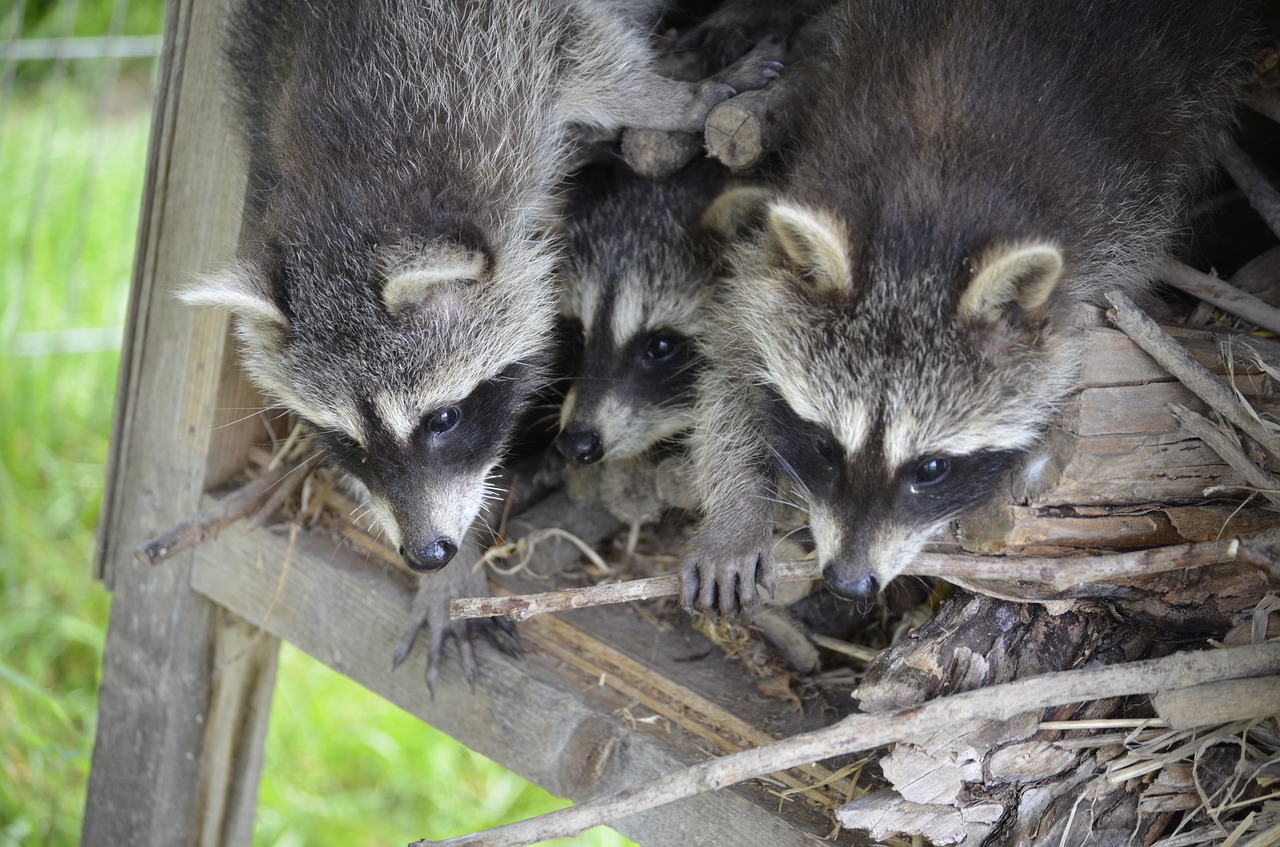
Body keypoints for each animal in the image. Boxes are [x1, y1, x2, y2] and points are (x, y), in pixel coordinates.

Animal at [181, 0, 773, 578]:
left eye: (443, 419)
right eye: (347, 441)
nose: (427, 555)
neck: (344, 194)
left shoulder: (494, 41)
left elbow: (589, 49)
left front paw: (669, 101)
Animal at [686, 0, 1254, 616]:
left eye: (931, 469)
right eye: (824, 446)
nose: (848, 584)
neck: (924, 222)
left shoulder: (1119, 224)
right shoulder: (773, 258)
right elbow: (732, 354)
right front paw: (737, 512)